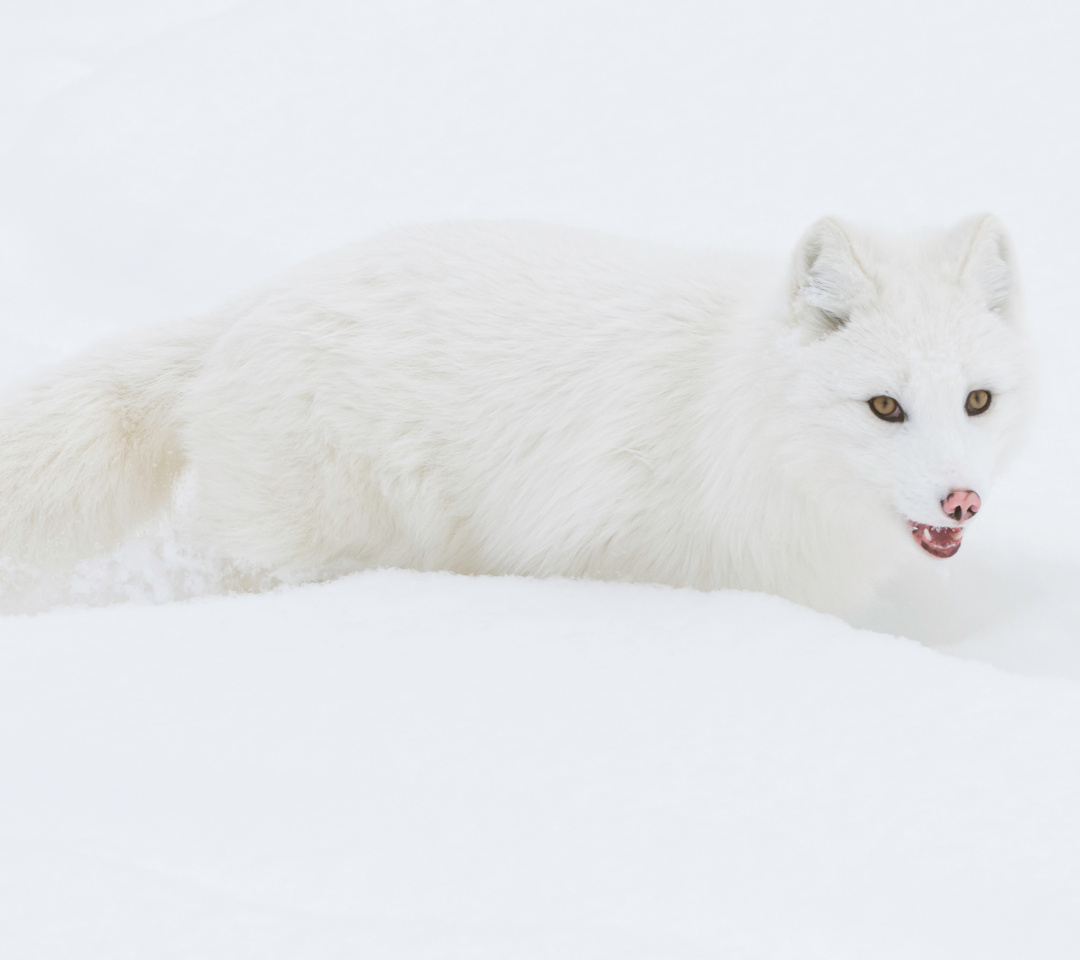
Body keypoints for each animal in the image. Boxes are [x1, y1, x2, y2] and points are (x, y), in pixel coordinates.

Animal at [0, 217, 1032, 613]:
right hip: (307, 544)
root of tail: (238, 313)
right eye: (885, 406)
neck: (726, 412)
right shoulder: (593, 548)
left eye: (978, 400)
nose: (963, 501)